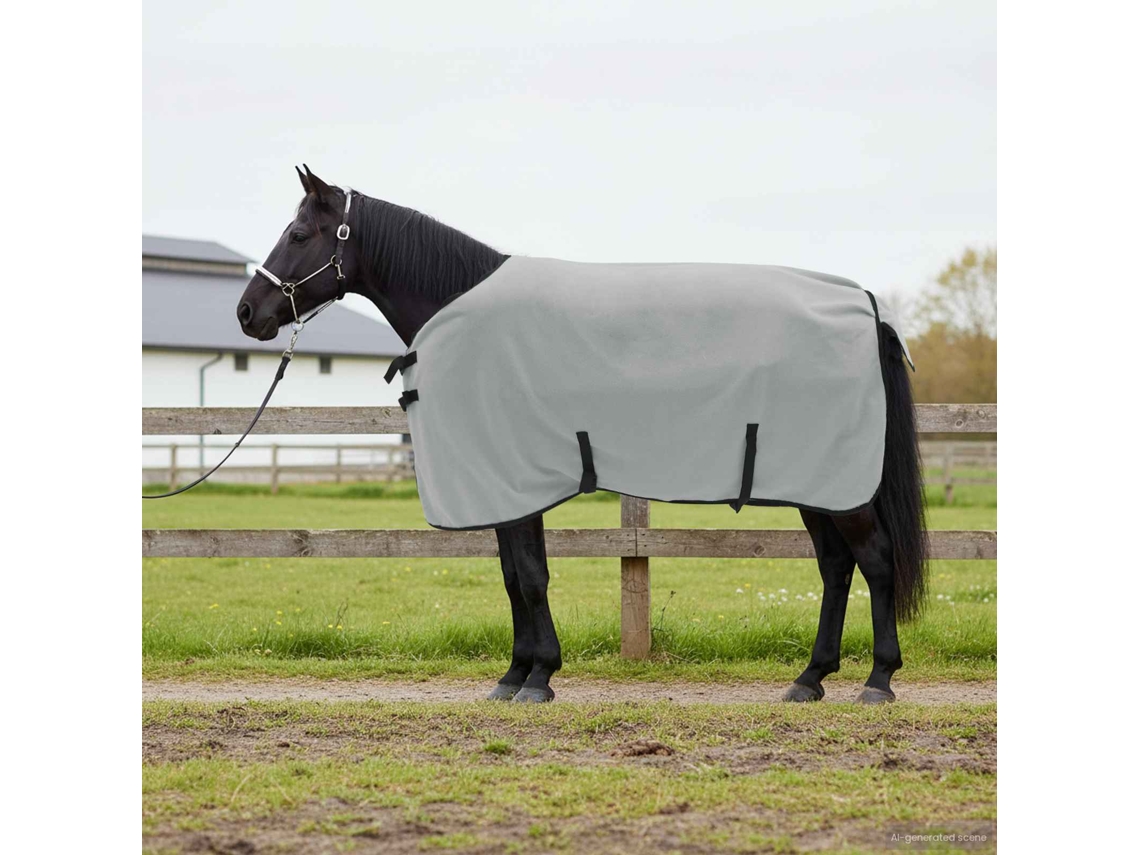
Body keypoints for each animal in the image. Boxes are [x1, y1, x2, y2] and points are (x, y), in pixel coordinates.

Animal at [237, 165, 928, 705]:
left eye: (298, 234)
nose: (248, 313)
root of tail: (866, 307)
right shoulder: (507, 487)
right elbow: (515, 575)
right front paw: (515, 674)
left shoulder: (515, 483)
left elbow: (530, 577)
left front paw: (538, 677)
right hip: (817, 483)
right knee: (836, 567)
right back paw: (810, 679)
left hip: (840, 485)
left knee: (876, 559)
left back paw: (878, 680)